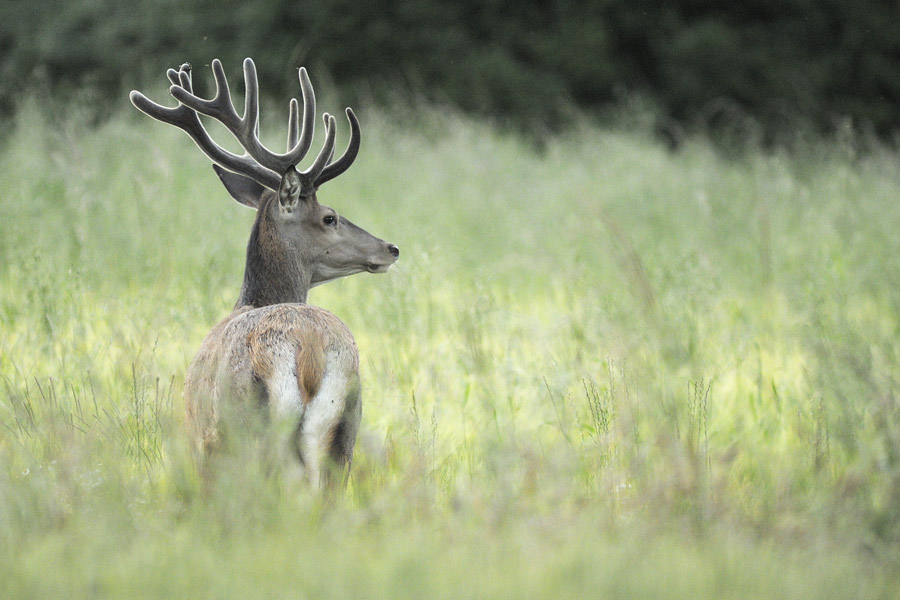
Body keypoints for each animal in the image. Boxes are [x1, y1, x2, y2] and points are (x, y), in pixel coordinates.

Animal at [130, 57, 398, 488]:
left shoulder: (203, 446)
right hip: (346, 428)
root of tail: (308, 348)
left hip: (250, 428)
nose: (390, 248)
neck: (249, 300)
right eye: (330, 217)